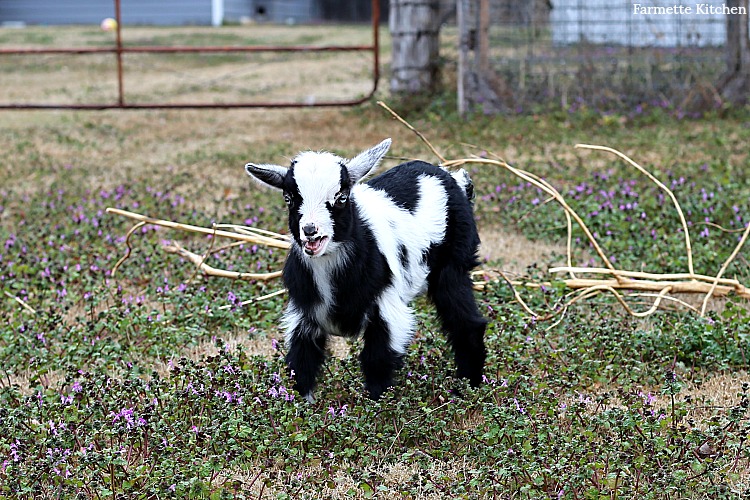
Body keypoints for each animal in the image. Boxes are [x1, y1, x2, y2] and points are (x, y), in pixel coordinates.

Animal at [248, 139, 488, 400]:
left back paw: (467, 388)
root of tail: (451, 178)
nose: (310, 231)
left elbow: (376, 360)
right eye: (288, 198)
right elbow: (301, 362)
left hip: (453, 265)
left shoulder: (387, 306)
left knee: (466, 323)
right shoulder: (303, 314)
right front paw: (300, 404)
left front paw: (377, 403)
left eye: (342, 197)